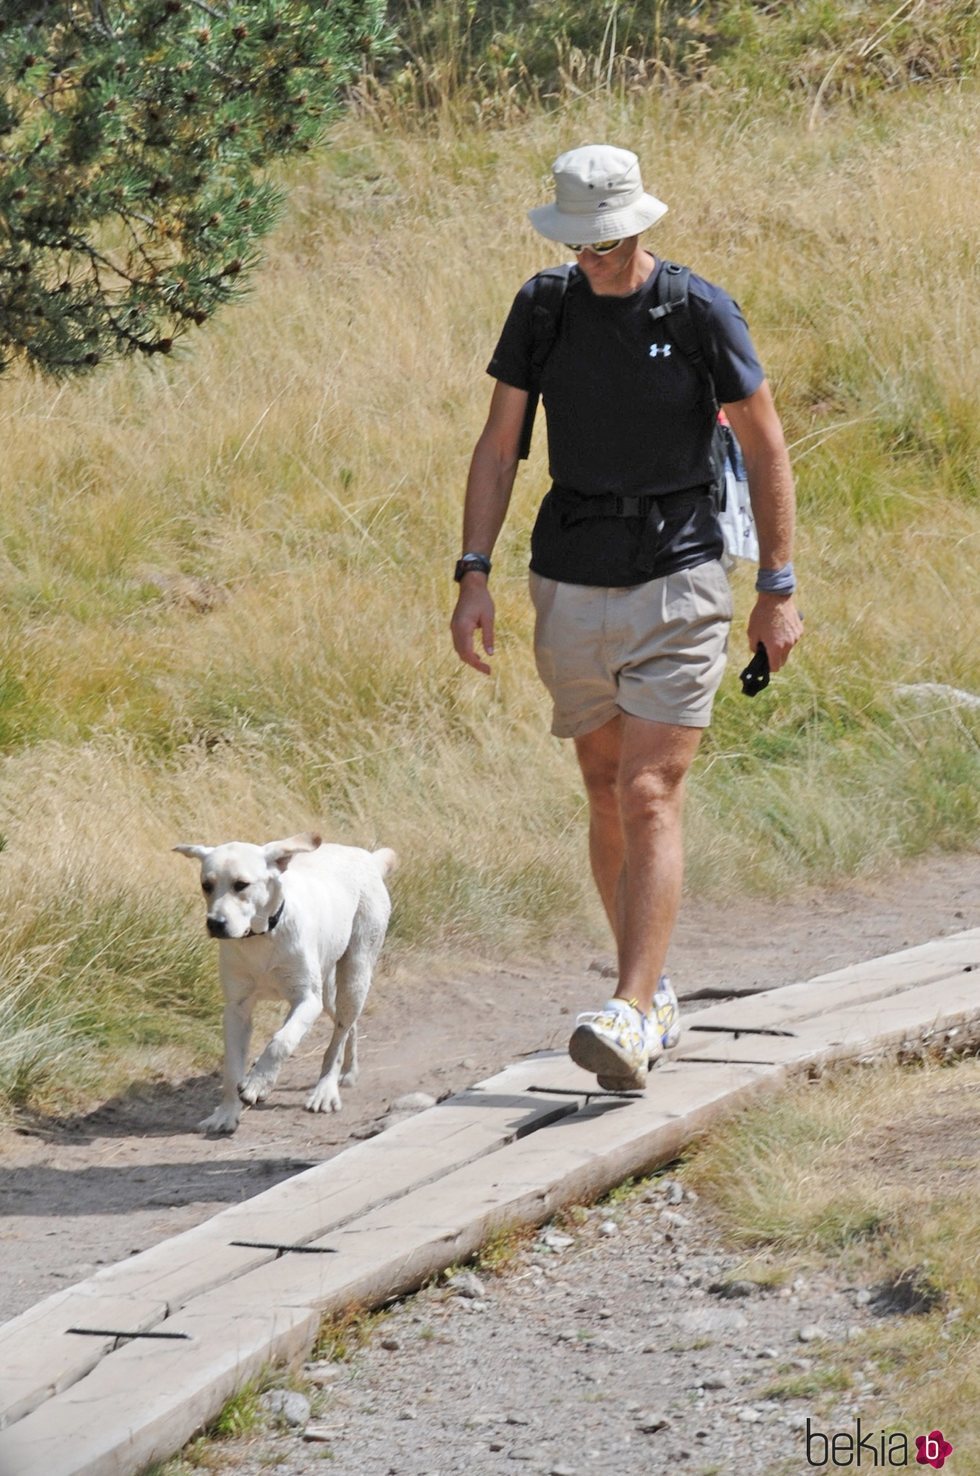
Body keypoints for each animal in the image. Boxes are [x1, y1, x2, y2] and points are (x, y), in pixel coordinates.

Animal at [176, 838, 395, 1133]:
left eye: (241, 884)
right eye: (206, 885)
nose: (215, 924)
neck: (261, 936)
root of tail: (367, 858)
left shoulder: (307, 1000)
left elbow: (280, 1042)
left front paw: (257, 1084)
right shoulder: (236, 1009)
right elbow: (232, 1066)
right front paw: (226, 1113)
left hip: (354, 975)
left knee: (338, 1037)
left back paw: (326, 1090)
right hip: (329, 992)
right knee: (347, 1025)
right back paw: (349, 1071)